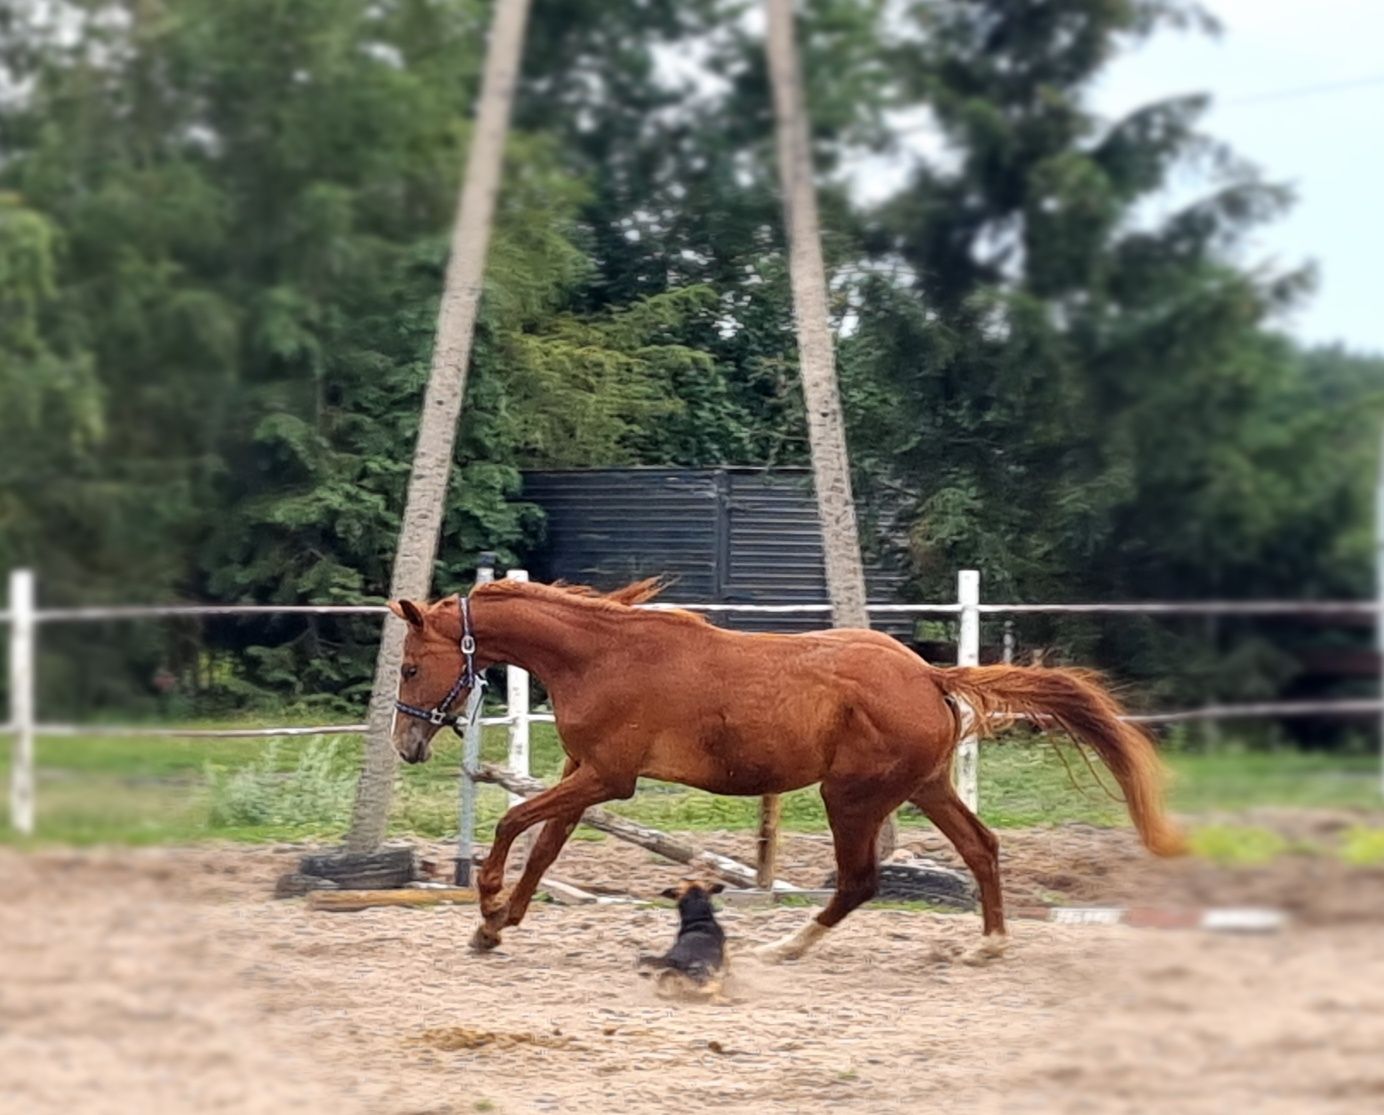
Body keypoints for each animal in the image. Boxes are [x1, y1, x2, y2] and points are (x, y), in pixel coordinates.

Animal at [384, 581, 1184, 962]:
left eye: (411, 665)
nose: (406, 744)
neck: (600, 656)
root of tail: (930, 674)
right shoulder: (587, 774)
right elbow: (545, 846)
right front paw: (496, 928)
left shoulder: (608, 777)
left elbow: (514, 820)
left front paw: (488, 903)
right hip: (924, 787)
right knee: (982, 848)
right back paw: (987, 946)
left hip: (850, 795)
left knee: (861, 881)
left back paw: (785, 945)